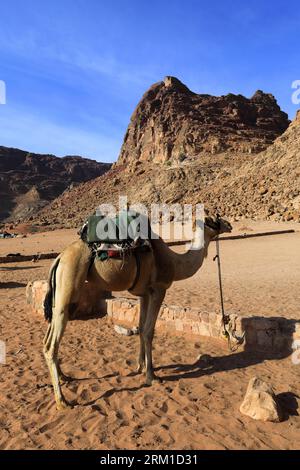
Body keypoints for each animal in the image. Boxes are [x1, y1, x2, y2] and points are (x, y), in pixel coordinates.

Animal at [42, 214, 232, 408]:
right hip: (70, 282)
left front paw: (140, 366)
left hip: (61, 293)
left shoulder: (144, 294)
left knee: (49, 336)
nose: (229, 224)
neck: (174, 263)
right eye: (214, 220)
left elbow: (140, 328)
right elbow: (149, 331)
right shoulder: (159, 290)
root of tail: (59, 258)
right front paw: (151, 376)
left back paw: (64, 377)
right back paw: (62, 401)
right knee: (50, 345)